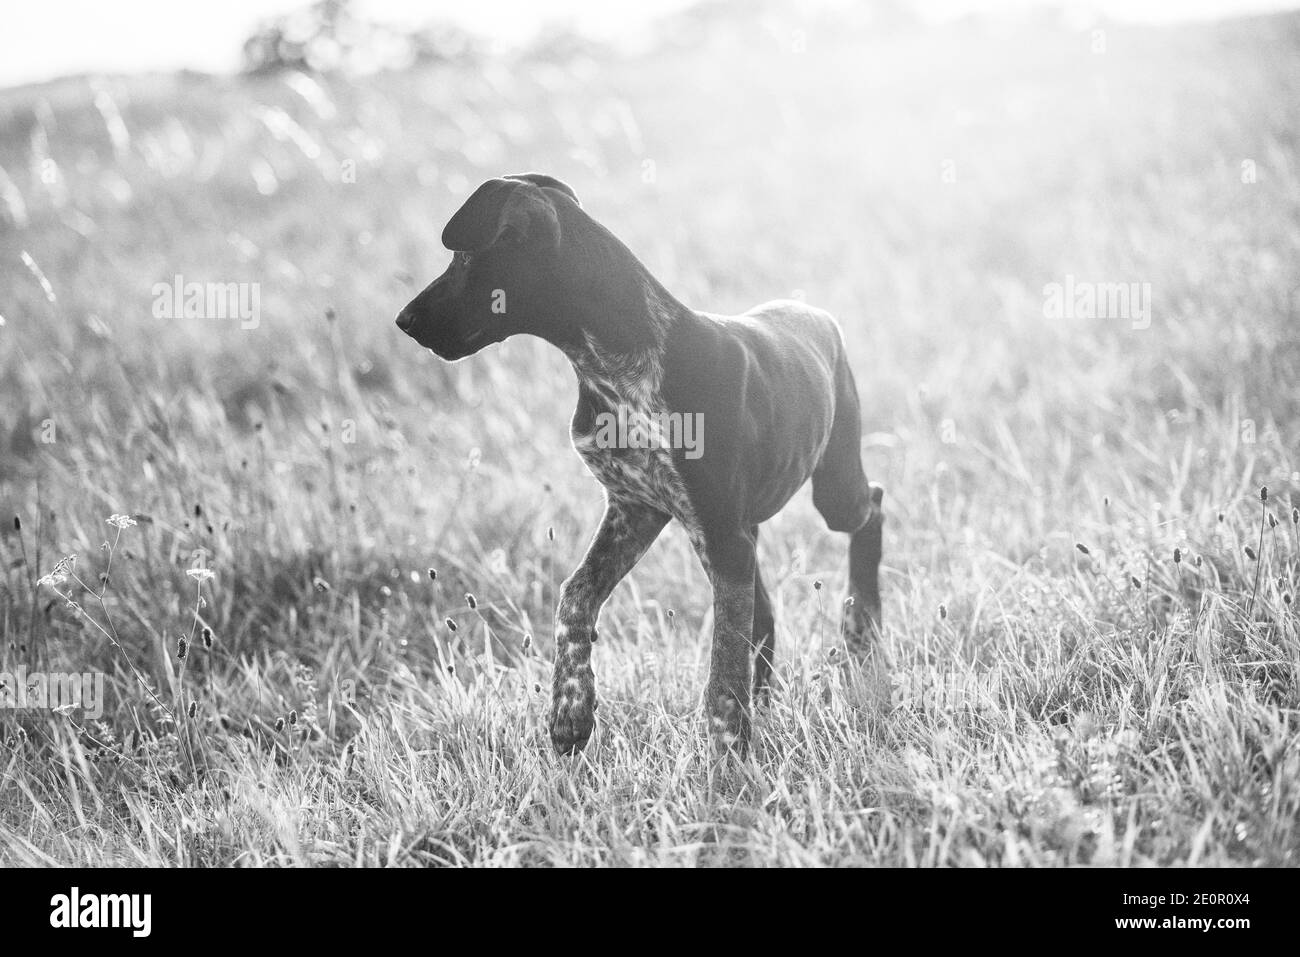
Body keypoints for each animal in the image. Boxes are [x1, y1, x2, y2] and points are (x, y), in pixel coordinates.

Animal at [395, 174, 883, 754]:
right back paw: (772, 694)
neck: (613, 365)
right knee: (763, 613)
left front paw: (727, 753)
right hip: (734, 533)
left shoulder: (714, 531)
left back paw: (862, 627)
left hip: (827, 492)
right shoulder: (638, 509)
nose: (403, 321)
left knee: (872, 507)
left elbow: (723, 668)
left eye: (466, 256)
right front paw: (570, 712)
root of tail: (815, 314)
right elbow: (575, 597)